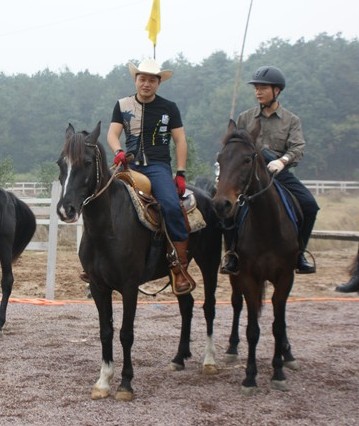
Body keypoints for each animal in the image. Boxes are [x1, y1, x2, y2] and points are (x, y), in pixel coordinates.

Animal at [56, 121, 222, 402]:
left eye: (87, 162)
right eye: (61, 163)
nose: (65, 210)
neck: (108, 227)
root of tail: (208, 197)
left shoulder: (129, 287)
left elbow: (126, 333)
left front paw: (125, 384)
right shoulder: (99, 288)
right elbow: (106, 331)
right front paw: (103, 381)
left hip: (209, 263)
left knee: (208, 306)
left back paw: (209, 361)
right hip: (178, 272)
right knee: (186, 305)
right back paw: (179, 358)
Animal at [214, 118, 300, 394]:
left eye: (247, 159)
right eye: (220, 158)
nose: (222, 204)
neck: (267, 225)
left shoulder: (285, 278)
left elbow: (278, 325)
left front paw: (278, 372)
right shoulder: (249, 277)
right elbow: (252, 329)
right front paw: (250, 377)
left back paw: (287, 353)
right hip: (234, 274)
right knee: (236, 304)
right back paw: (232, 348)